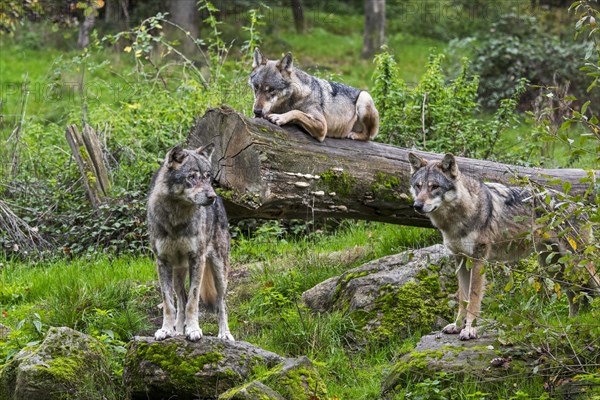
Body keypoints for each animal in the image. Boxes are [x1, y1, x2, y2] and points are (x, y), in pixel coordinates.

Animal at [148, 145, 234, 342]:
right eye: (192, 177)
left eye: (208, 177)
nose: (212, 196)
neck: (176, 217)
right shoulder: (162, 262)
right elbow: (169, 303)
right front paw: (166, 330)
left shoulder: (197, 259)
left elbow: (193, 301)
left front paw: (194, 330)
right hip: (177, 272)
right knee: (180, 299)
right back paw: (178, 330)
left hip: (220, 271)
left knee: (221, 303)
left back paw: (224, 334)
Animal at [250, 48, 380, 142]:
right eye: (256, 88)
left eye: (271, 90)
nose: (257, 111)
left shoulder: (322, 126)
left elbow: (297, 112)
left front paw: (279, 117)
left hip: (364, 98)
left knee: (368, 136)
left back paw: (354, 135)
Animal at [406, 153, 596, 340]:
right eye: (418, 186)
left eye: (434, 187)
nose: (417, 206)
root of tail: (579, 204)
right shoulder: (460, 260)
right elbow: (462, 298)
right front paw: (457, 326)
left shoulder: (478, 259)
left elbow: (473, 298)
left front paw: (469, 330)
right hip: (553, 267)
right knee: (575, 294)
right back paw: (571, 324)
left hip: (578, 264)